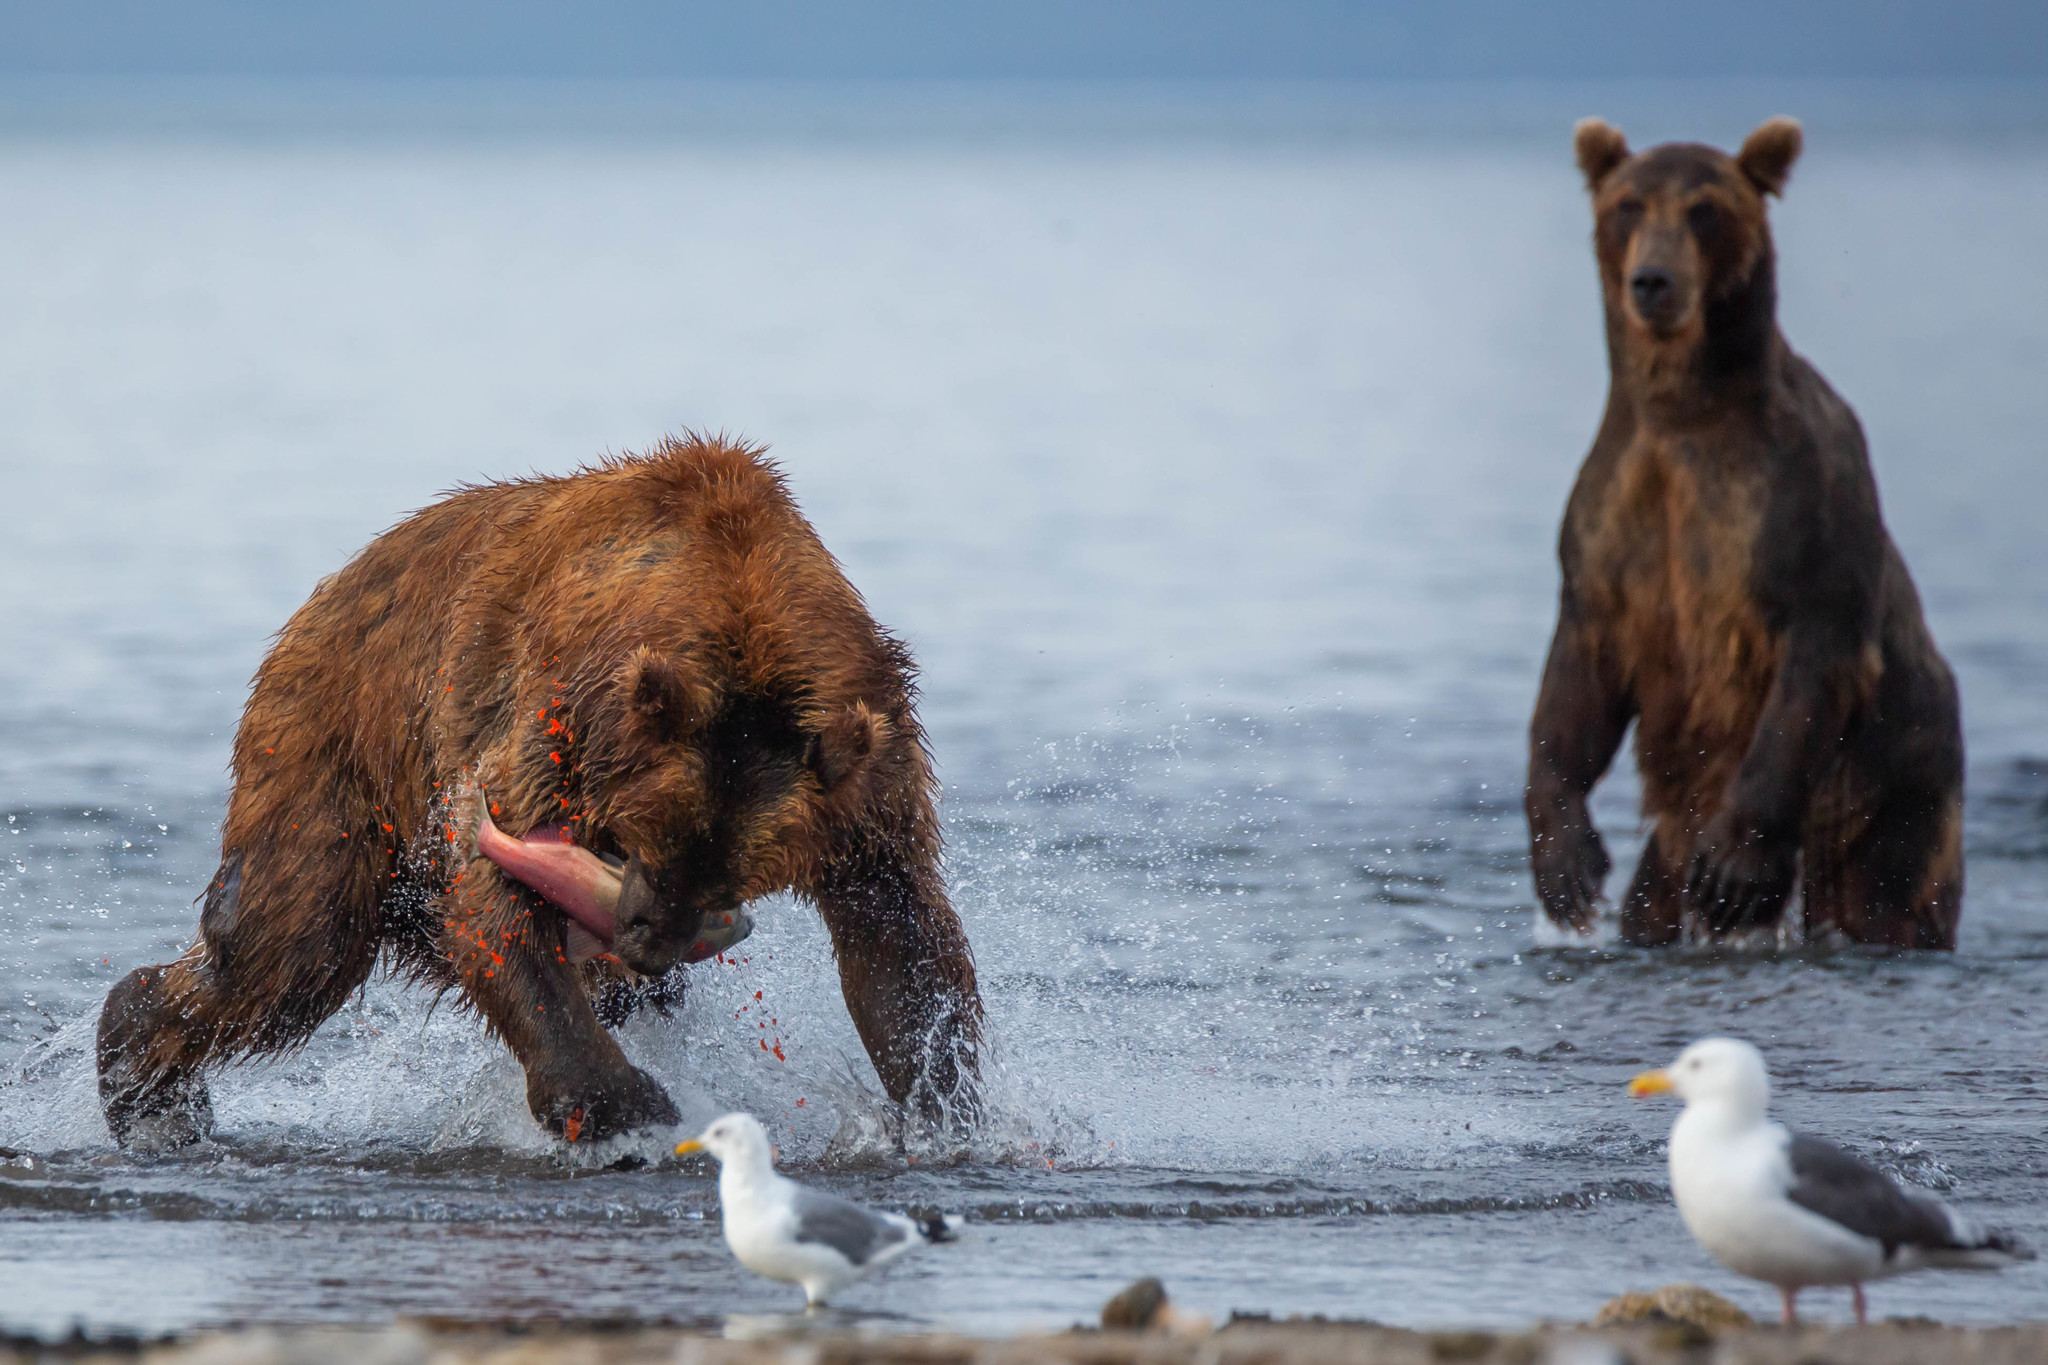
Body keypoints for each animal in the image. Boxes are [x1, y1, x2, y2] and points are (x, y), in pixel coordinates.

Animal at [99, 437, 978, 1154]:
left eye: (732, 876)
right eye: (646, 838)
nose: (647, 940)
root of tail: (334, 584)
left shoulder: (866, 773)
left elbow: (898, 933)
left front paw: (946, 1110)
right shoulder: (555, 715)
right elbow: (493, 884)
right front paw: (622, 1102)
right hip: (337, 747)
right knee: (289, 946)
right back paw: (145, 1082)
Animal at [1523, 117, 1966, 949]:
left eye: (1704, 209)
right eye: (1628, 205)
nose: (1653, 282)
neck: (1682, 412)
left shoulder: (1798, 495)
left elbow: (1815, 650)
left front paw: (1736, 871)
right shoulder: (1608, 518)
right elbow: (1579, 677)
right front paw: (1564, 866)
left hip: (1893, 786)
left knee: (1889, 892)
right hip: (1675, 839)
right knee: (1652, 901)